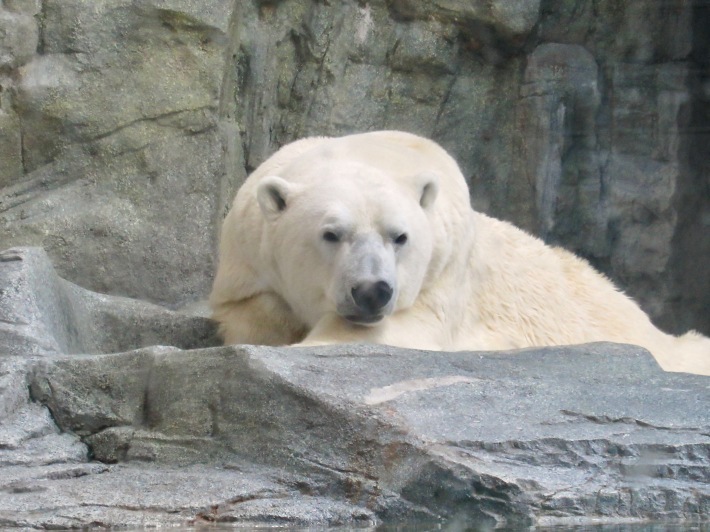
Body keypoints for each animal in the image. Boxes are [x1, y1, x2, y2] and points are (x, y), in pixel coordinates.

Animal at [210, 131, 710, 376]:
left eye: (400, 236)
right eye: (332, 234)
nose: (373, 291)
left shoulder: (441, 268)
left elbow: (400, 328)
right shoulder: (247, 254)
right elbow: (251, 312)